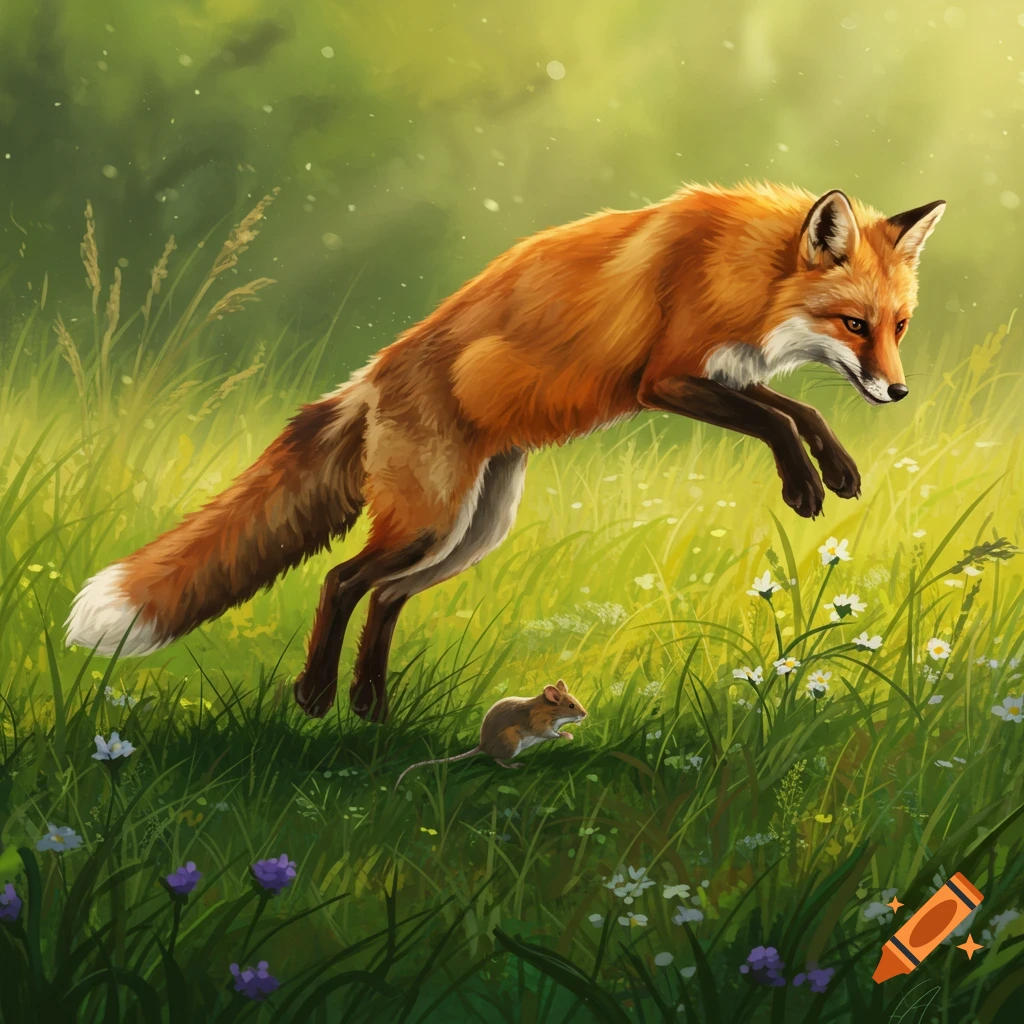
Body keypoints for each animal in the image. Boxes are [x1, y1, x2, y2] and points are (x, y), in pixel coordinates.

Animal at [65, 182, 945, 723]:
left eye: (900, 325)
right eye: (853, 325)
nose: (899, 392)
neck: (744, 269)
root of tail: (372, 376)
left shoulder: (717, 370)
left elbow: (794, 405)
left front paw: (837, 469)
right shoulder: (665, 377)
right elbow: (778, 417)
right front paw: (804, 485)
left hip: (474, 530)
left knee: (386, 598)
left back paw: (371, 710)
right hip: (430, 521)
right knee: (341, 579)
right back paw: (314, 695)